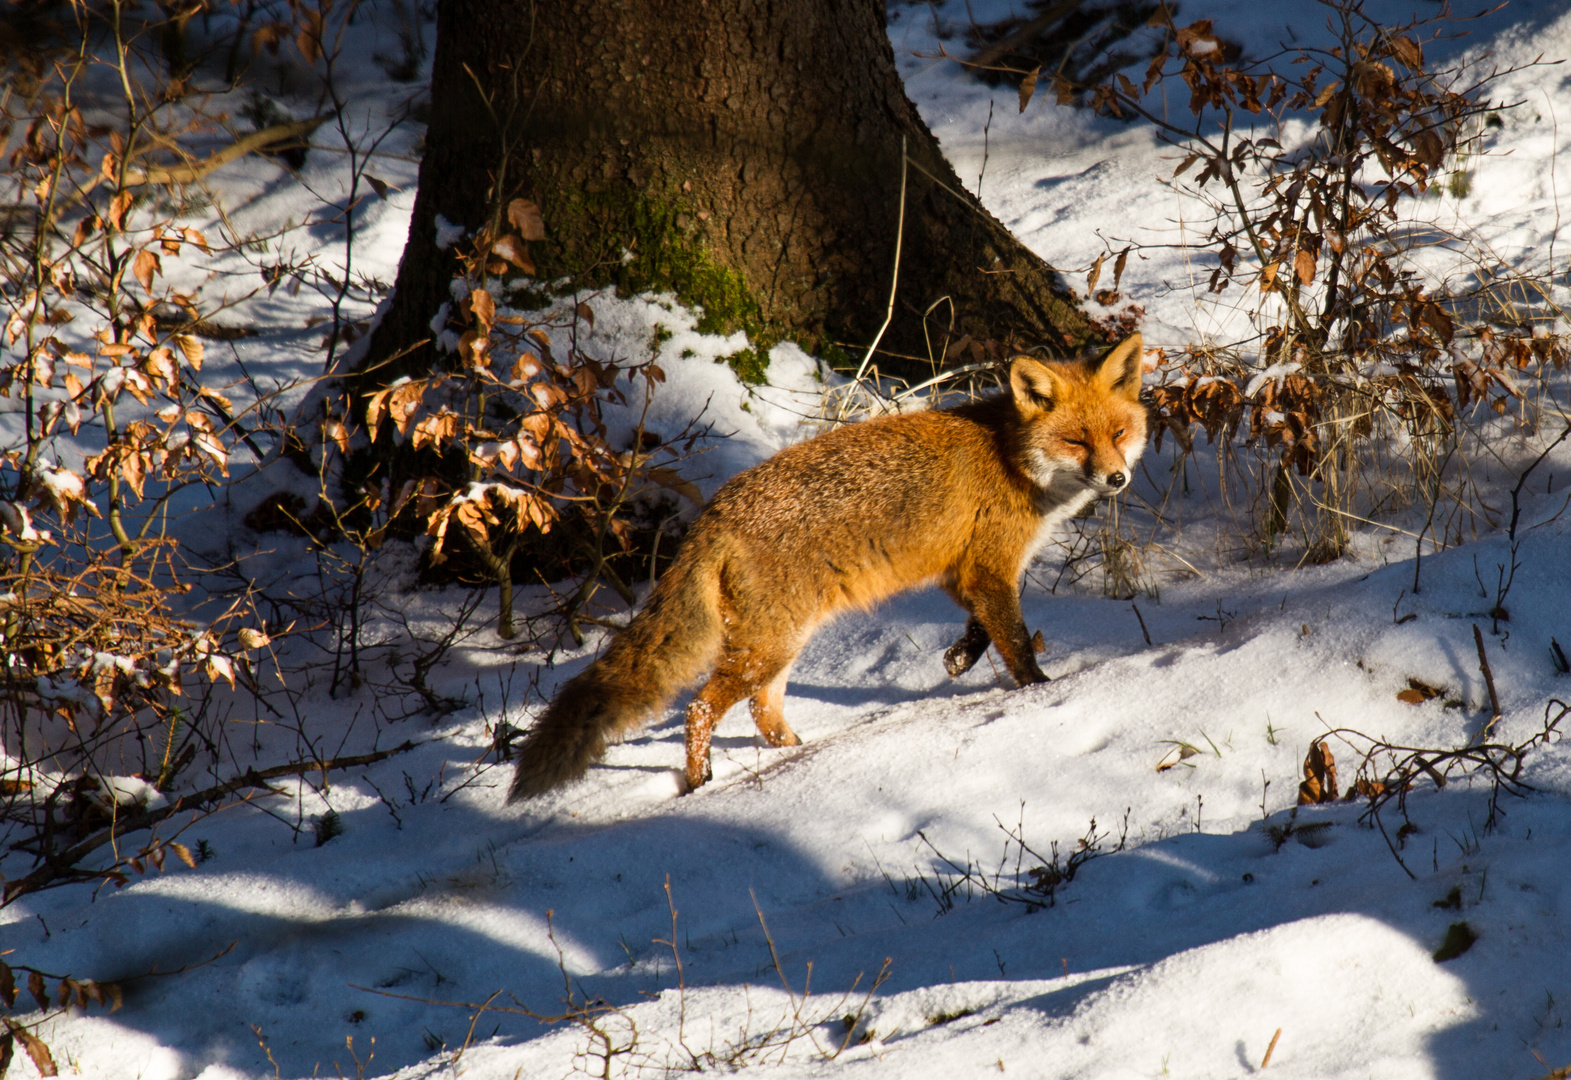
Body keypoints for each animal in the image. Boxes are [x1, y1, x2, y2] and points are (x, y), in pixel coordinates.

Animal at [509, 333, 1149, 798]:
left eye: (1119, 432)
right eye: (1075, 441)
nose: (1118, 479)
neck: (1011, 458)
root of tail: (716, 511)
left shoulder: (963, 570)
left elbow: (984, 628)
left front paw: (960, 659)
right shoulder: (990, 567)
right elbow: (1015, 641)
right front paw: (1040, 694)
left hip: (779, 643)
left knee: (762, 709)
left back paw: (800, 755)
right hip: (771, 644)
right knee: (701, 705)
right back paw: (701, 781)